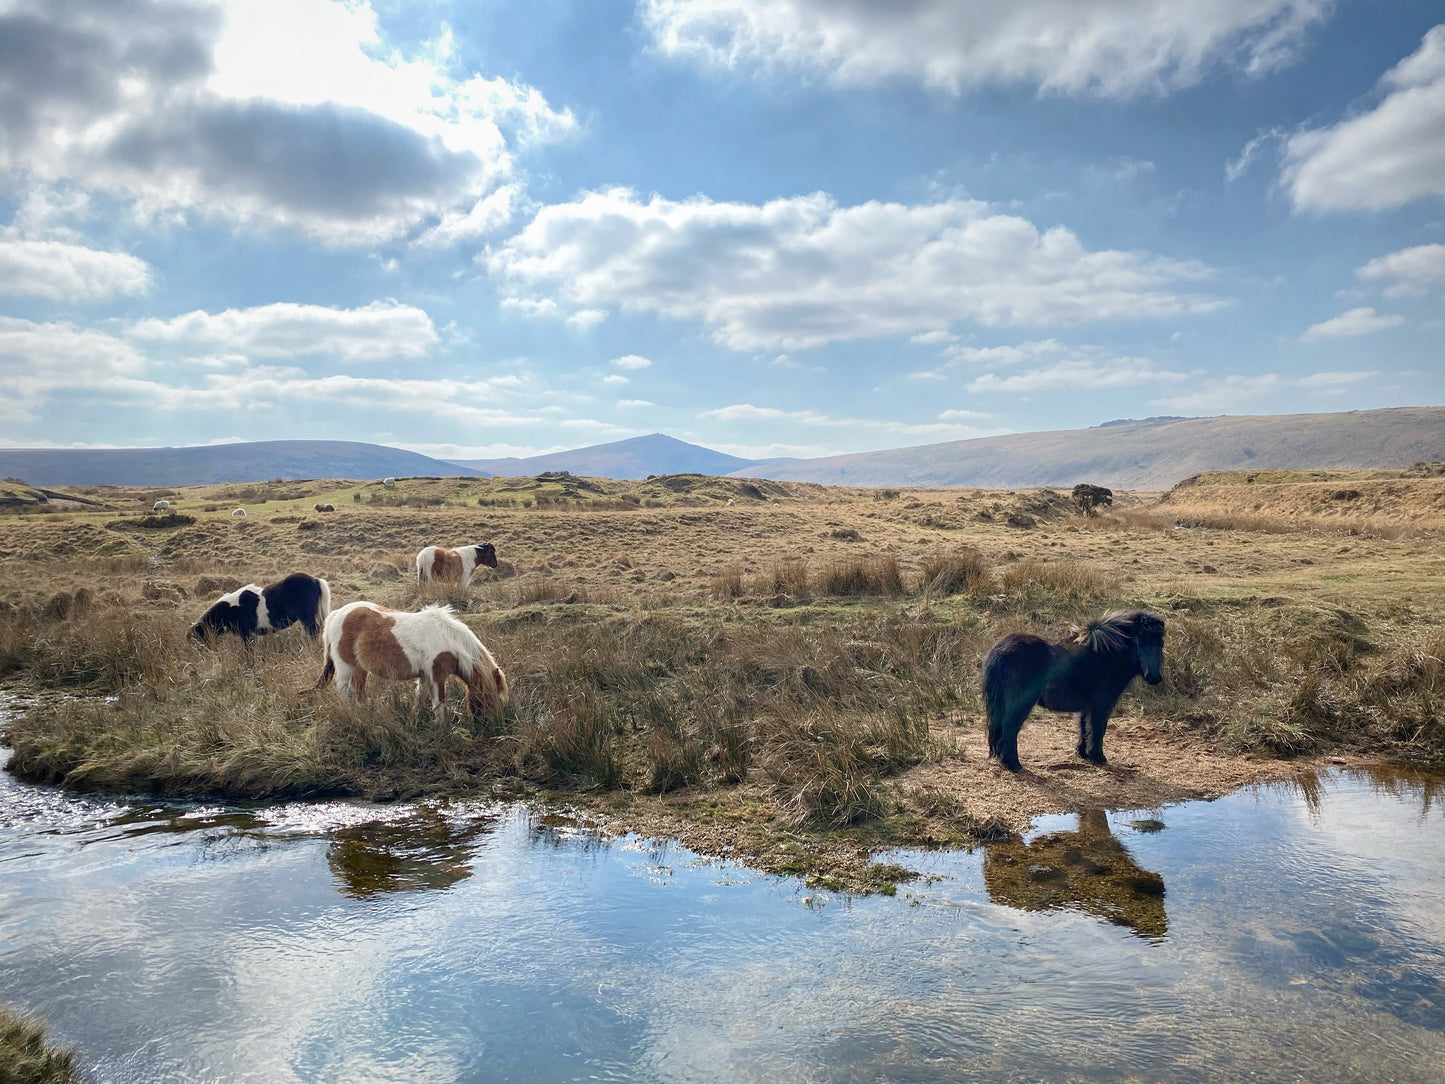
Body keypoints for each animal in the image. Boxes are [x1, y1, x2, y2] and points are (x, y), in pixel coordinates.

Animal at [186, 578, 330, 644]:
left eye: (196, 638)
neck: (233, 608)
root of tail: (315, 580)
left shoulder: (247, 634)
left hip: (307, 617)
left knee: (313, 631)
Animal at [310, 604, 508, 722]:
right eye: (487, 697)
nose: (492, 723)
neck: (448, 639)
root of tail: (336, 614)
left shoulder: (425, 675)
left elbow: (420, 696)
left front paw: (415, 716)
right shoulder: (436, 676)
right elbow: (439, 701)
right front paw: (441, 725)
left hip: (360, 667)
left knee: (359, 689)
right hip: (345, 666)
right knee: (343, 690)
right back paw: (351, 713)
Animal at [976, 612, 1167, 774]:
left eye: (1160, 643)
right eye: (1140, 641)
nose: (1154, 677)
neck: (1105, 655)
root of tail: (1002, 649)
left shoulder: (1087, 706)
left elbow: (1084, 727)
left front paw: (1083, 753)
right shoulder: (1102, 705)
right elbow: (1098, 729)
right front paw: (1098, 757)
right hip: (1020, 704)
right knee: (1010, 728)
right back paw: (1013, 764)